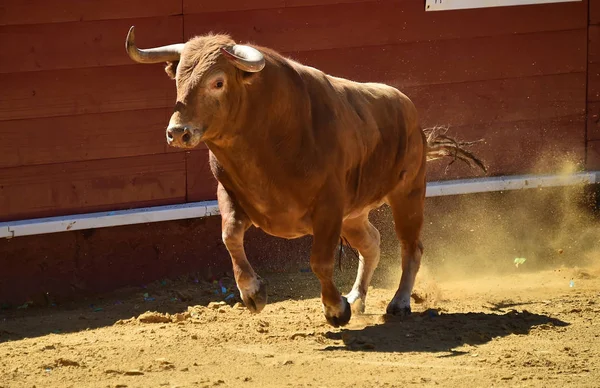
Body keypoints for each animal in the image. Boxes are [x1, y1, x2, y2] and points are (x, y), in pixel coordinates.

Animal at [124, 25, 486, 326]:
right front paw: (253, 293)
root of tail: (407, 108)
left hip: (408, 193)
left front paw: (336, 309)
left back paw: (398, 302)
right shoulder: (229, 193)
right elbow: (230, 236)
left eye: (218, 82)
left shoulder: (328, 206)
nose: (177, 132)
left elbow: (320, 261)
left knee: (412, 247)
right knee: (372, 243)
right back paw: (357, 297)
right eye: (178, 80)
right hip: (354, 213)